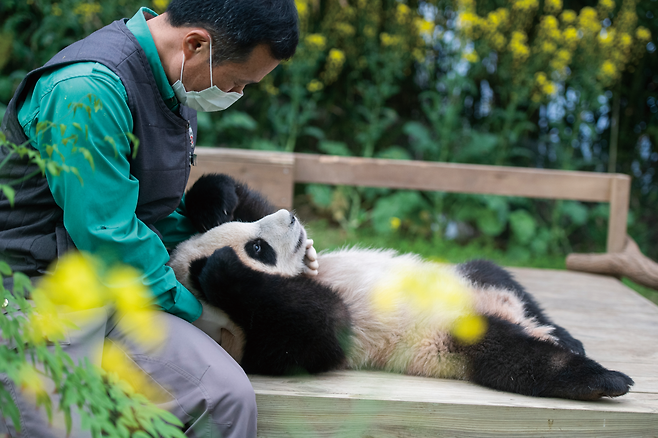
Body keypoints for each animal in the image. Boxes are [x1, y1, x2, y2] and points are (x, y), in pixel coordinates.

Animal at [167, 173, 632, 398]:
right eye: (258, 247)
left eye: (253, 236)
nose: (292, 218)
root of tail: (510, 315)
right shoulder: (264, 342)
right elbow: (322, 327)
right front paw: (221, 270)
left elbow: (248, 200)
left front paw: (217, 201)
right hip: (456, 337)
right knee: (516, 359)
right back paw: (600, 379)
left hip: (468, 275)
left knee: (504, 279)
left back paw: (566, 337)